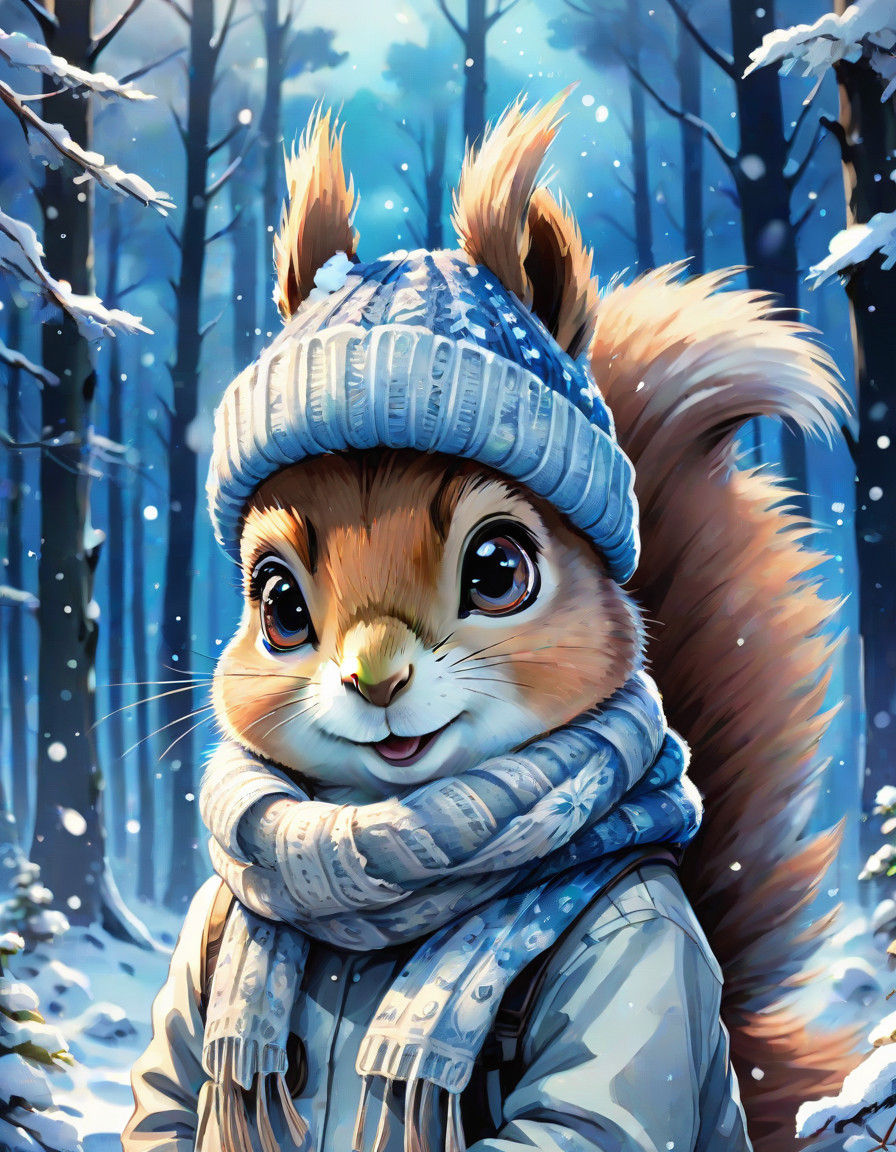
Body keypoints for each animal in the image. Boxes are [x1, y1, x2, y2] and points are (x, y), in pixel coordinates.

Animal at [125, 95, 857, 1152]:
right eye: (277, 604)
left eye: (499, 569)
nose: (376, 679)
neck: (372, 856)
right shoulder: (206, 936)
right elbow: (168, 1086)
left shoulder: (640, 947)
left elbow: (586, 1113)